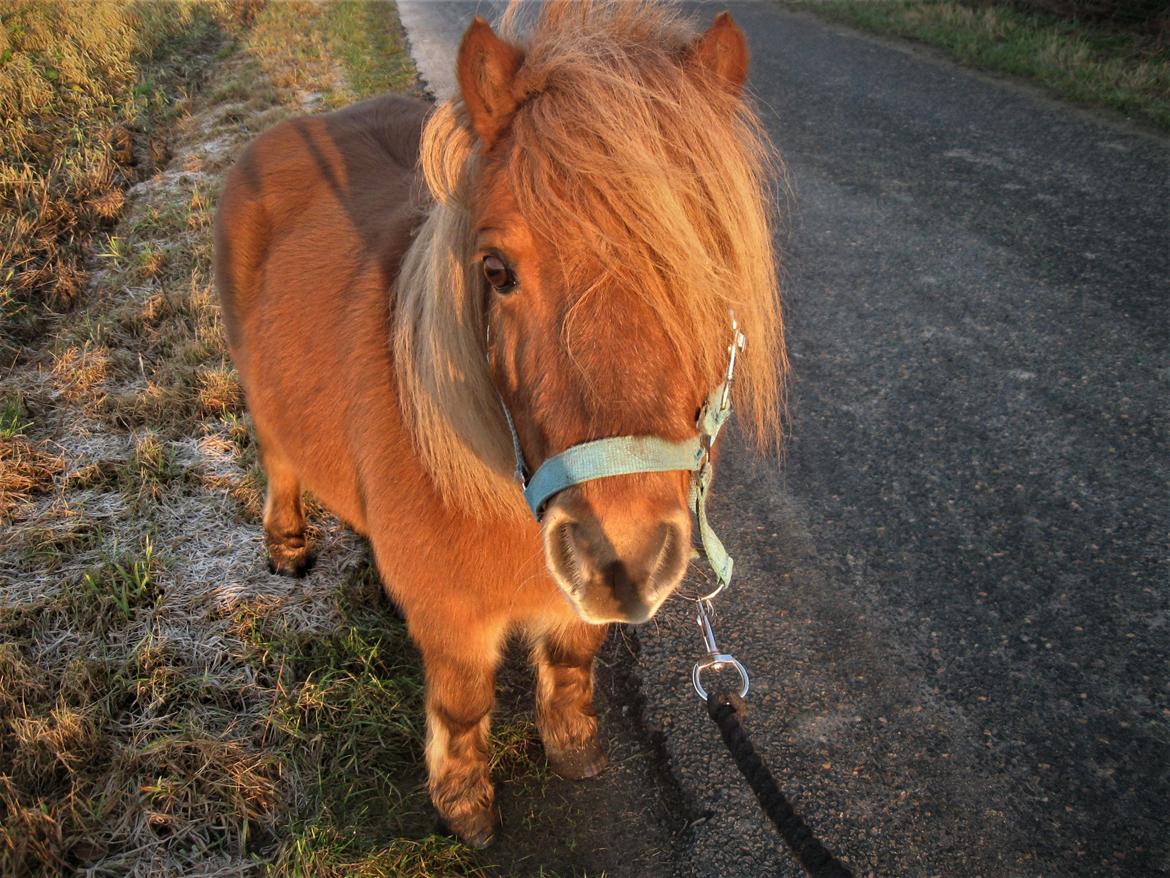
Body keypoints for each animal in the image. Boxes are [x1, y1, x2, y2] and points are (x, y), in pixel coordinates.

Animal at [217, 1, 786, 852]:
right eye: (496, 271)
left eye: (709, 269)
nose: (620, 552)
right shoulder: (456, 627)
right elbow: (462, 709)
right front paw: (464, 804)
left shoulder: (574, 607)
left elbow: (574, 665)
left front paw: (574, 747)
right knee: (280, 459)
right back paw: (287, 546)